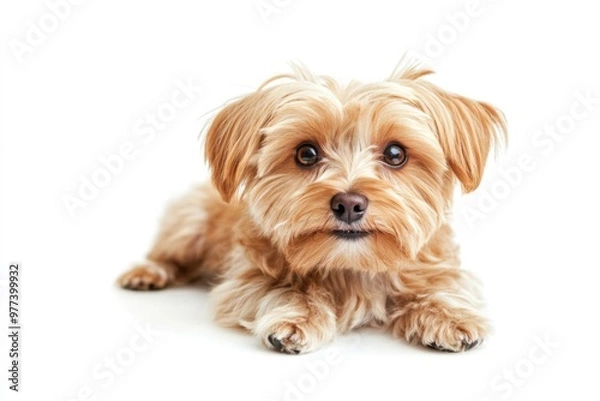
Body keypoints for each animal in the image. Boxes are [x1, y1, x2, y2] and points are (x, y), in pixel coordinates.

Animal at [117, 61, 506, 354]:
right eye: (306, 153)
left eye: (396, 153)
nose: (349, 204)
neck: (351, 268)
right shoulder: (245, 279)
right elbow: (287, 289)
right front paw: (299, 314)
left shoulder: (440, 268)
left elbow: (442, 286)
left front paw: (449, 314)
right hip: (189, 221)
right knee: (167, 254)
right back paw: (147, 273)